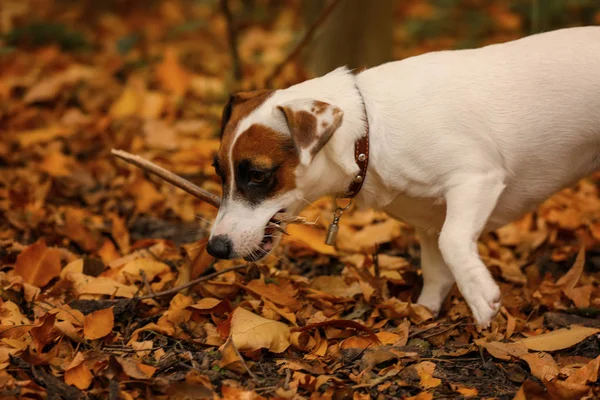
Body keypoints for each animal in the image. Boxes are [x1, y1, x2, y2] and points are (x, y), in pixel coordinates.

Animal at [205, 26, 600, 326]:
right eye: (218, 171)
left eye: (258, 175)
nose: (215, 248)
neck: (369, 132)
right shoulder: (429, 220)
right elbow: (437, 268)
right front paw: (424, 312)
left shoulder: (477, 178)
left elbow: (453, 242)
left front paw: (478, 294)